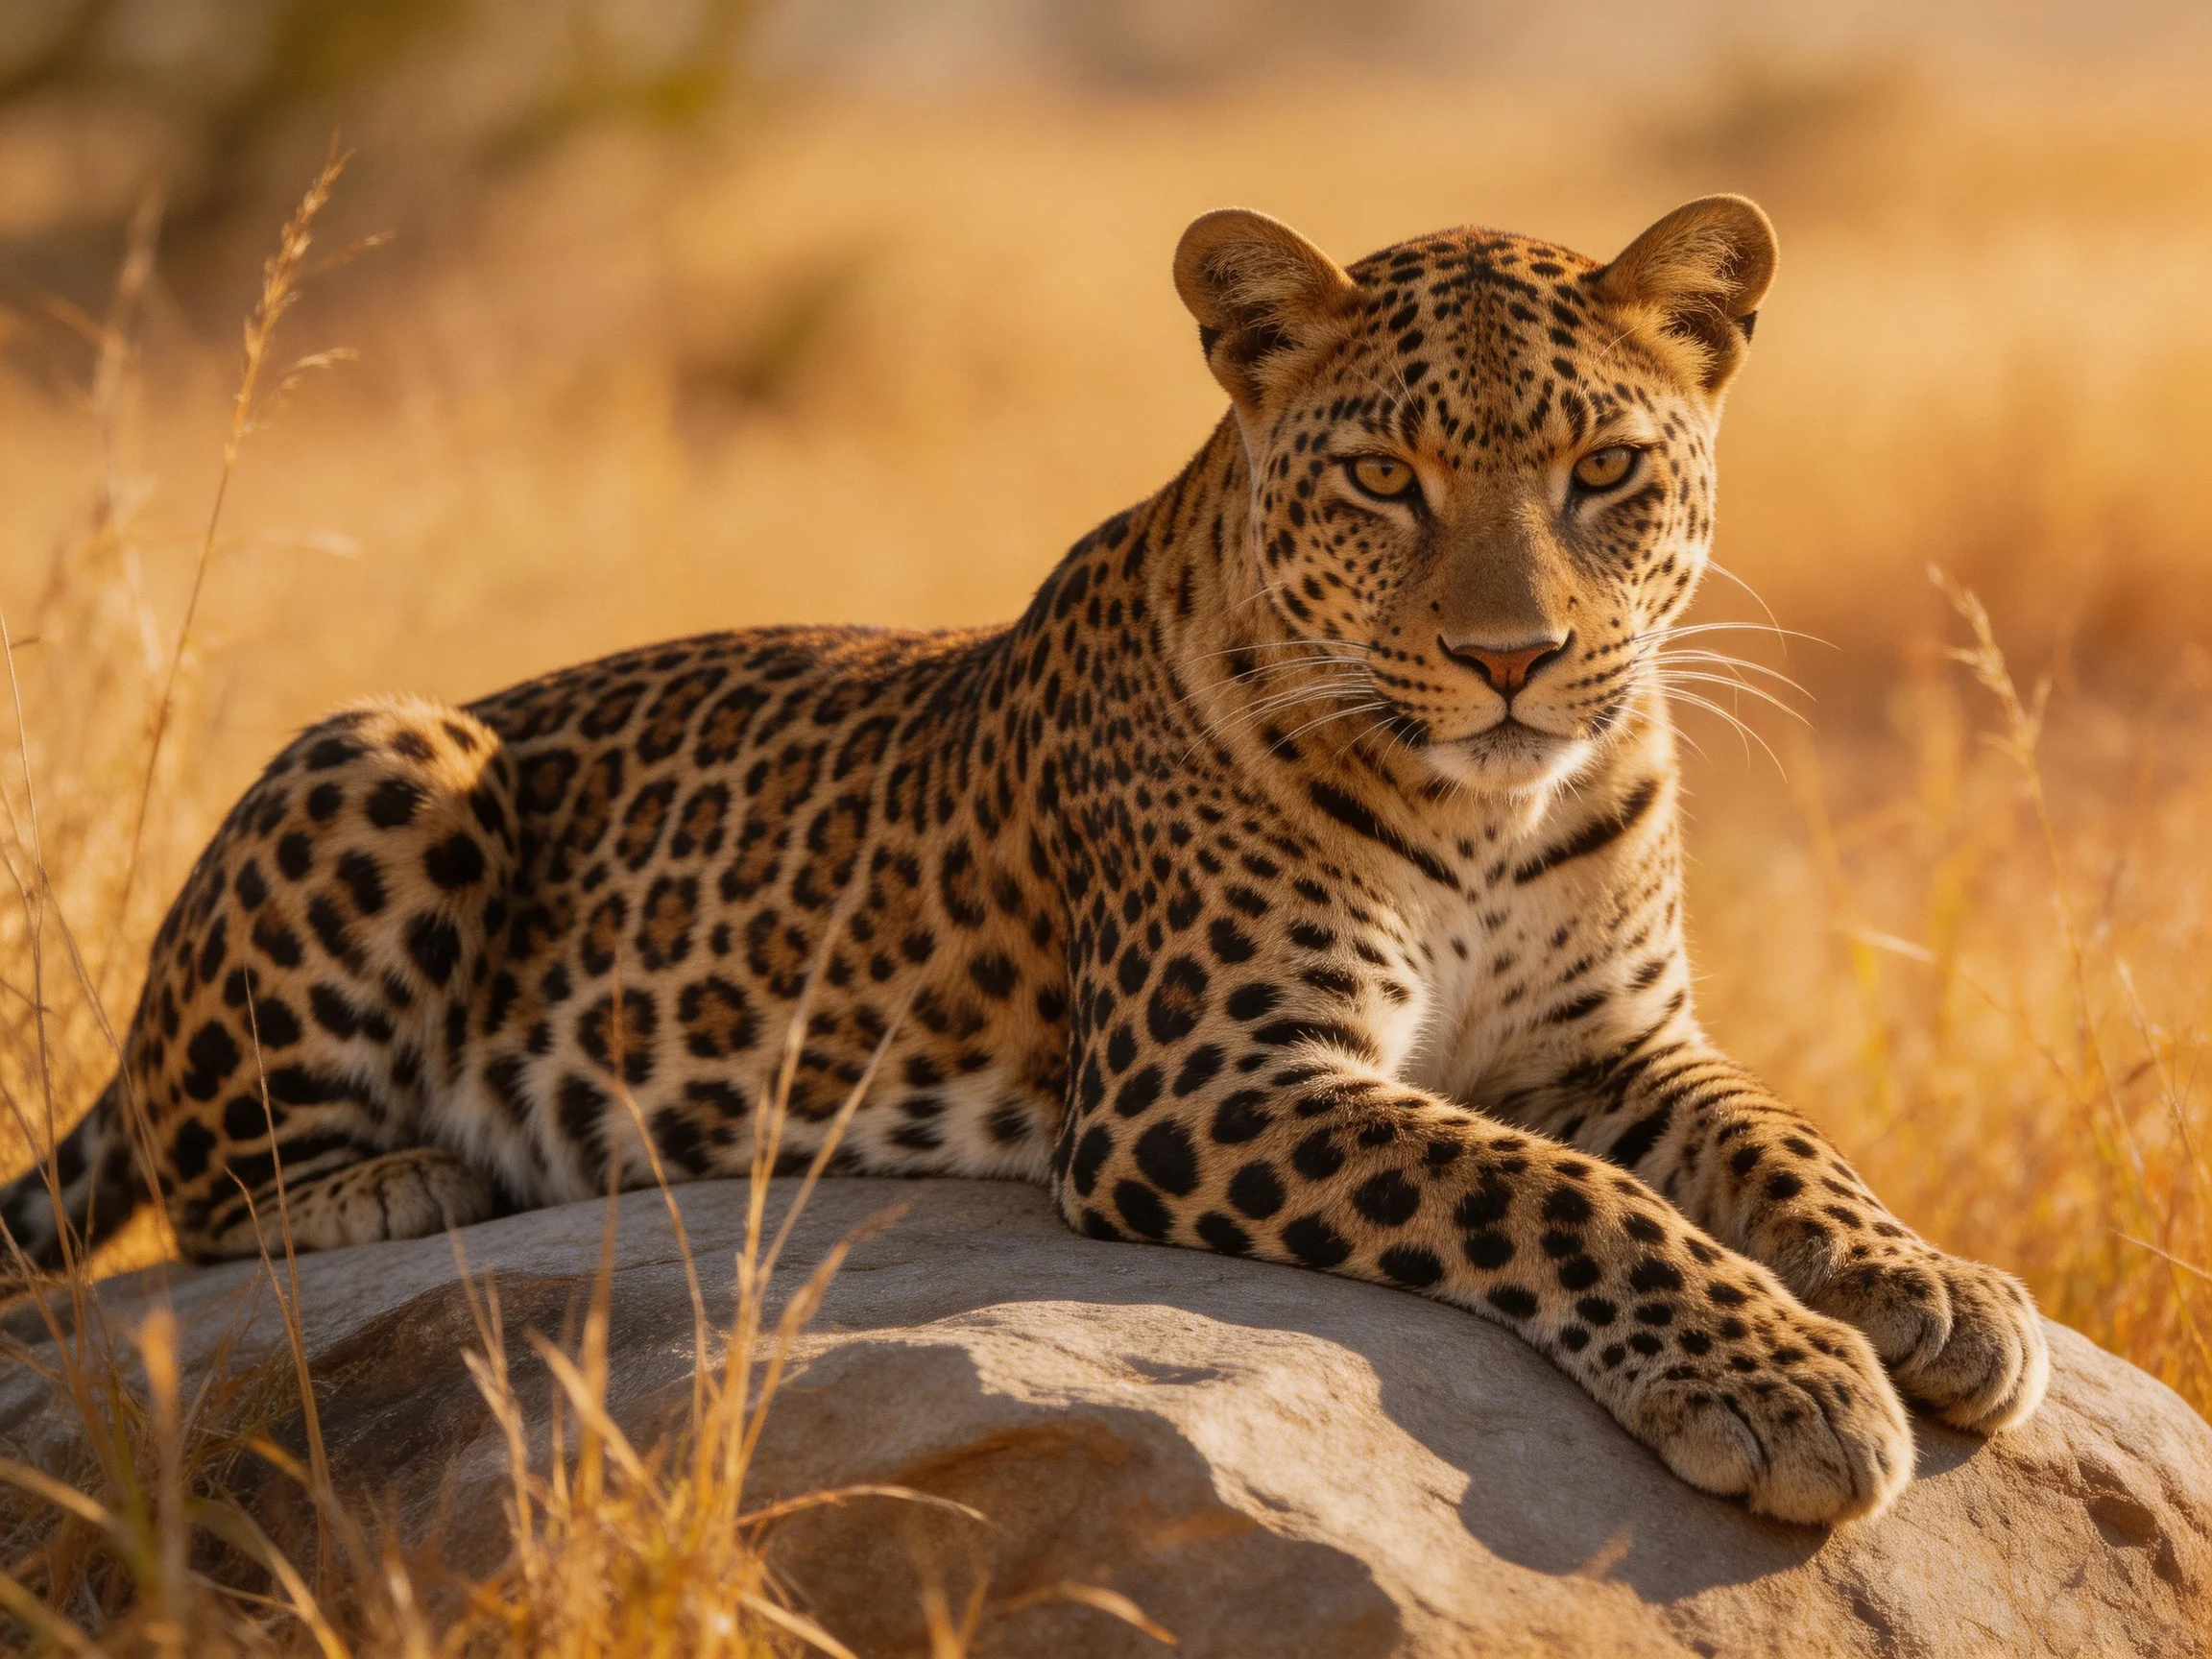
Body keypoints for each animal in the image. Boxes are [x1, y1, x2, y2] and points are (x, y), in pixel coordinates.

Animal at [1, 195, 2048, 1524]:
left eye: (1603, 470)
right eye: (1380, 476)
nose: (1508, 659)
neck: (1491, 810)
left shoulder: (1620, 1039)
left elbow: (1773, 1138)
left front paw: (1932, 1287)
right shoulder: (1201, 1082)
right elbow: (1548, 1191)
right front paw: (1784, 1382)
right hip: (391, 742)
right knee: (205, 1188)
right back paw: (406, 1178)